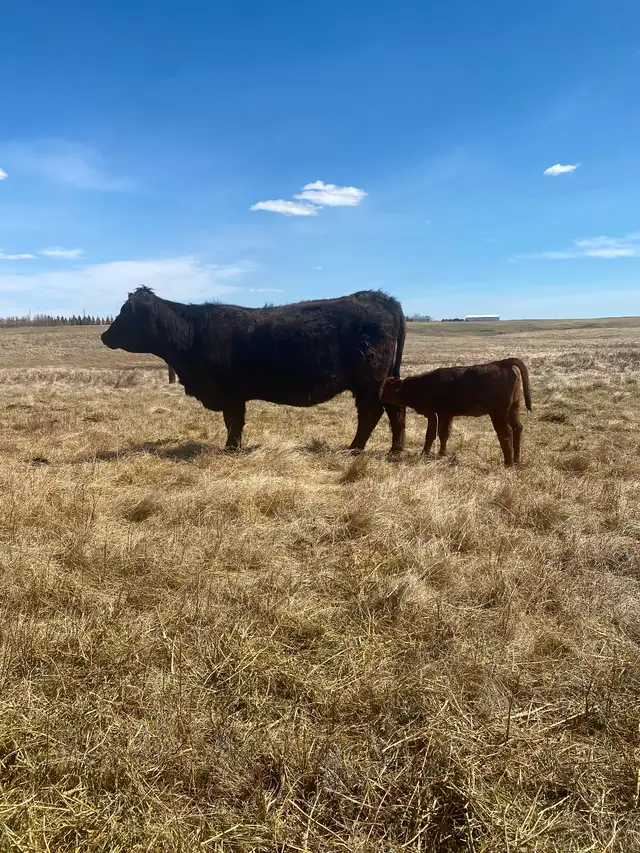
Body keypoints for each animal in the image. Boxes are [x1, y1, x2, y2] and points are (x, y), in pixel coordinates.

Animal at [101, 286, 406, 453]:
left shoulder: (231, 394)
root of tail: (381, 297)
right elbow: (233, 422)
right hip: (386, 378)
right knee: (395, 410)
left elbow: (234, 423)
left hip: (368, 380)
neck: (193, 333)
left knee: (371, 413)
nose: (105, 336)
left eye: (125, 313)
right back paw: (395, 451)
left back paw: (354, 449)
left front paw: (230, 449)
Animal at [381, 357, 532, 466]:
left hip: (498, 413)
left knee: (506, 433)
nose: (378, 395)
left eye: (386, 386)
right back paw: (517, 460)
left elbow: (430, 434)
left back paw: (508, 463)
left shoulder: (433, 415)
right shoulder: (447, 415)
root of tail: (501, 363)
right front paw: (442, 454)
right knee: (518, 428)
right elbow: (444, 434)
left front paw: (424, 454)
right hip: (513, 409)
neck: (419, 386)